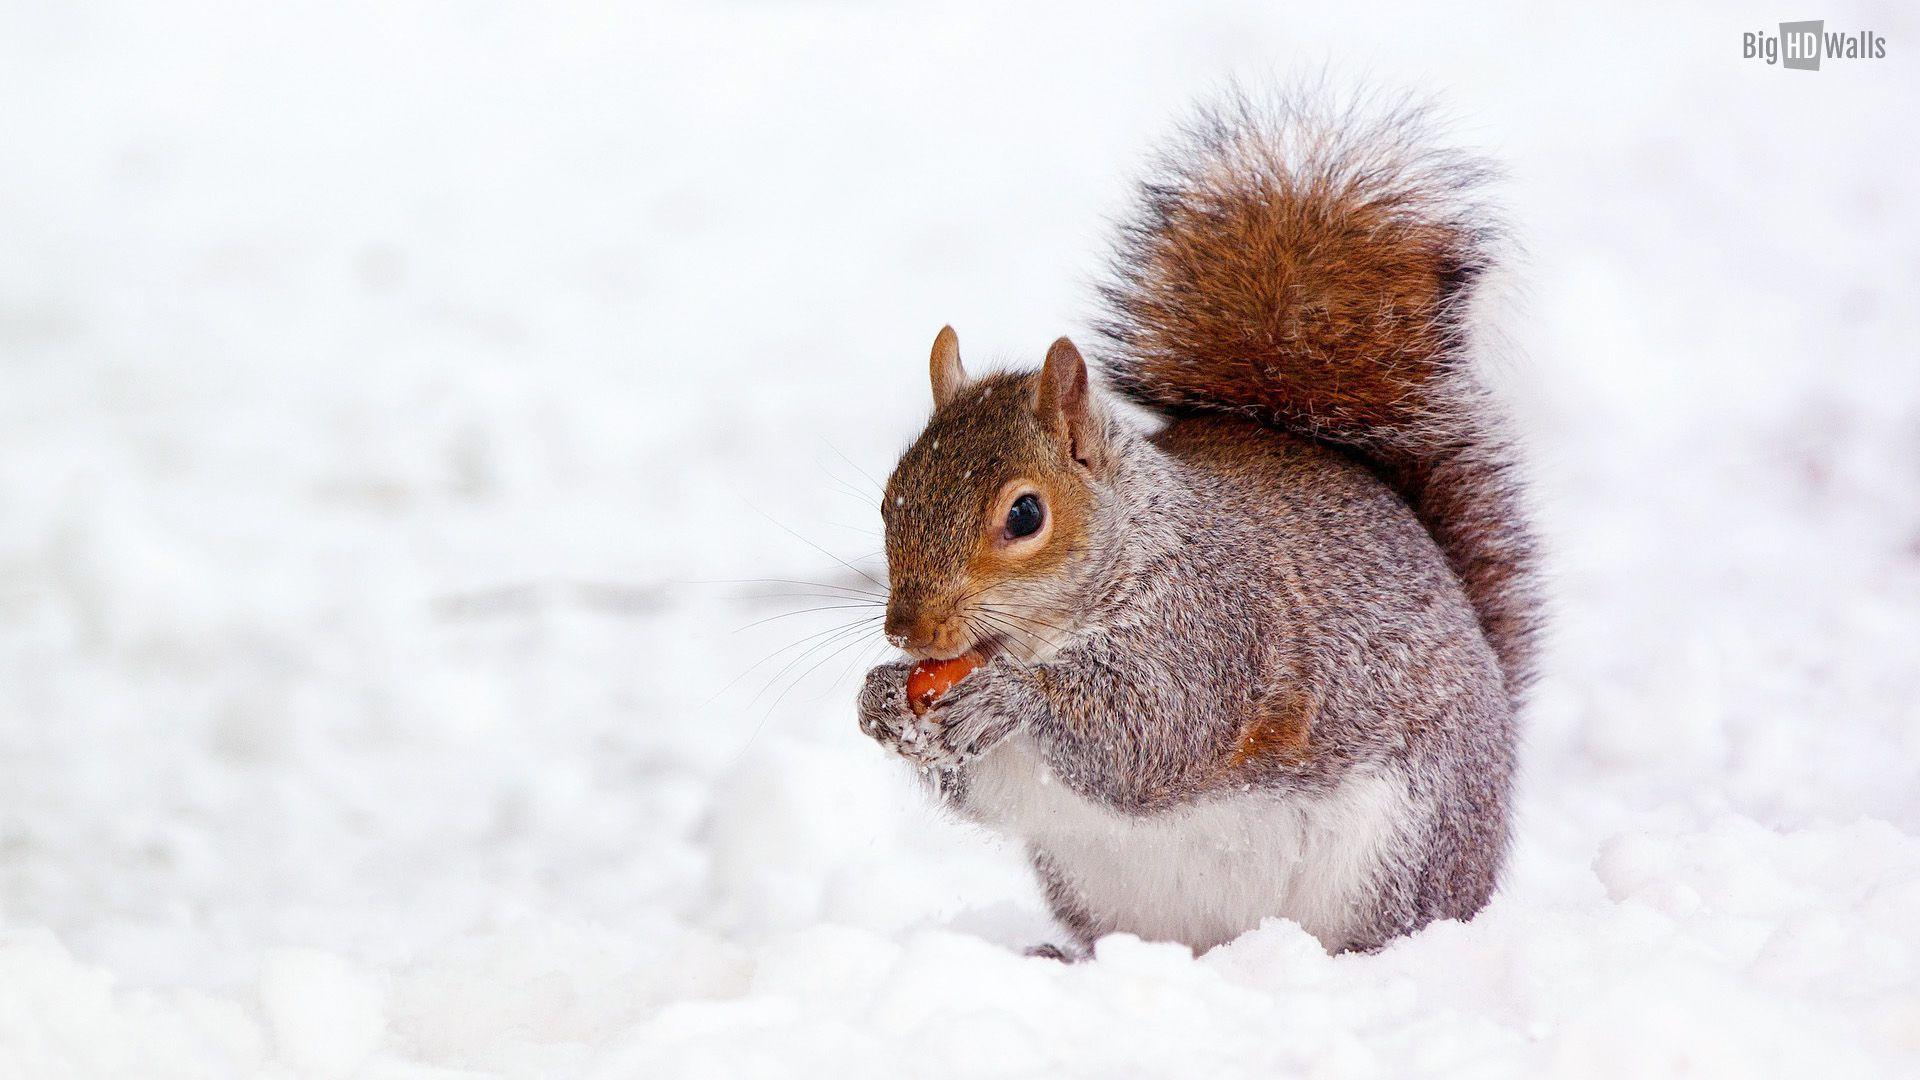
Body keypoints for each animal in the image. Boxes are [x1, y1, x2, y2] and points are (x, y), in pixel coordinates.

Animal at [855, 91, 1537, 957]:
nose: (908, 633)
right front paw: (880, 700)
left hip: (1400, 851)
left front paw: (1012, 699)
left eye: (1025, 514)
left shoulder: (1212, 626)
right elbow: (984, 786)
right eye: (889, 499)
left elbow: (1151, 731)